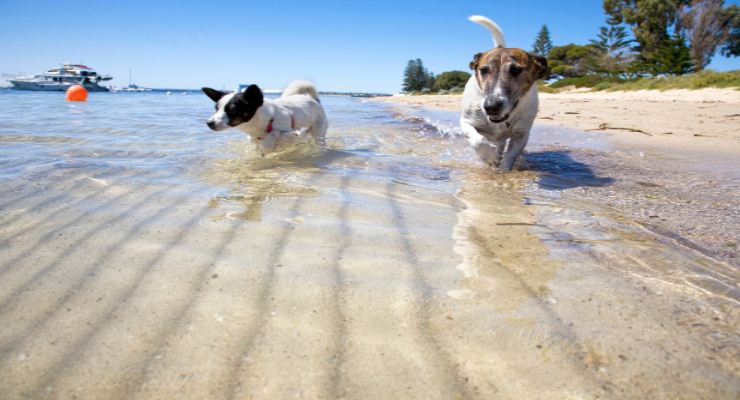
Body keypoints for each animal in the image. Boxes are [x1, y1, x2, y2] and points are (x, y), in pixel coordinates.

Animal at [456, 15, 548, 171]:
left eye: (516, 70)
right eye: (483, 70)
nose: (491, 107)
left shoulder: (521, 134)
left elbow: (510, 156)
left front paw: (504, 170)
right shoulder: (467, 122)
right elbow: (477, 140)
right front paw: (490, 157)